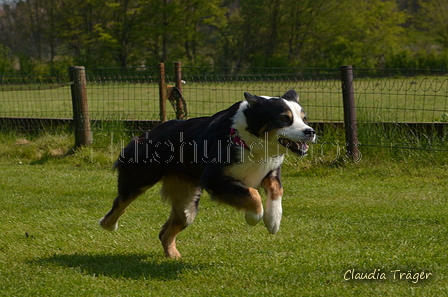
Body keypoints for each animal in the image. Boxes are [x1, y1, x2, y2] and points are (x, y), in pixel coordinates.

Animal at [99, 89, 316, 258]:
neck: (249, 140)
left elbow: (276, 189)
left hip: (186, 204)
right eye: (284, 119)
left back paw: (173, 255)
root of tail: (146, 133)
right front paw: (253, 217)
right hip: (138, 178)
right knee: (120, 204)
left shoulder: (270, 171)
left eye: (304, 119)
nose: (310, 131)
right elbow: (252, 194)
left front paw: (273, 220)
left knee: (166, 231)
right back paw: (108, 225)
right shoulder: (214, 178)